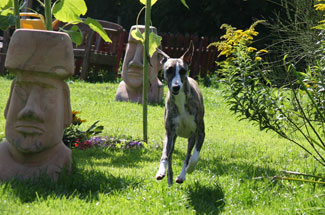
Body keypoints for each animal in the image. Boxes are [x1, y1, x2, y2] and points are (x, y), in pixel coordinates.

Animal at [155, 42, 205, 185]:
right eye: (169, 70)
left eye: (182, 71)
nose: (176, 87)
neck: (181, 100)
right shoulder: (169, 132)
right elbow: (165, 155)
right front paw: (161, 171)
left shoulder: (200, 133)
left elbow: (193, 157)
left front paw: (189, 170)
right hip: (173, 137)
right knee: (170, 154)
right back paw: (169, 177)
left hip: (190, 138)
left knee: (188, 155)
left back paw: (182, 175)